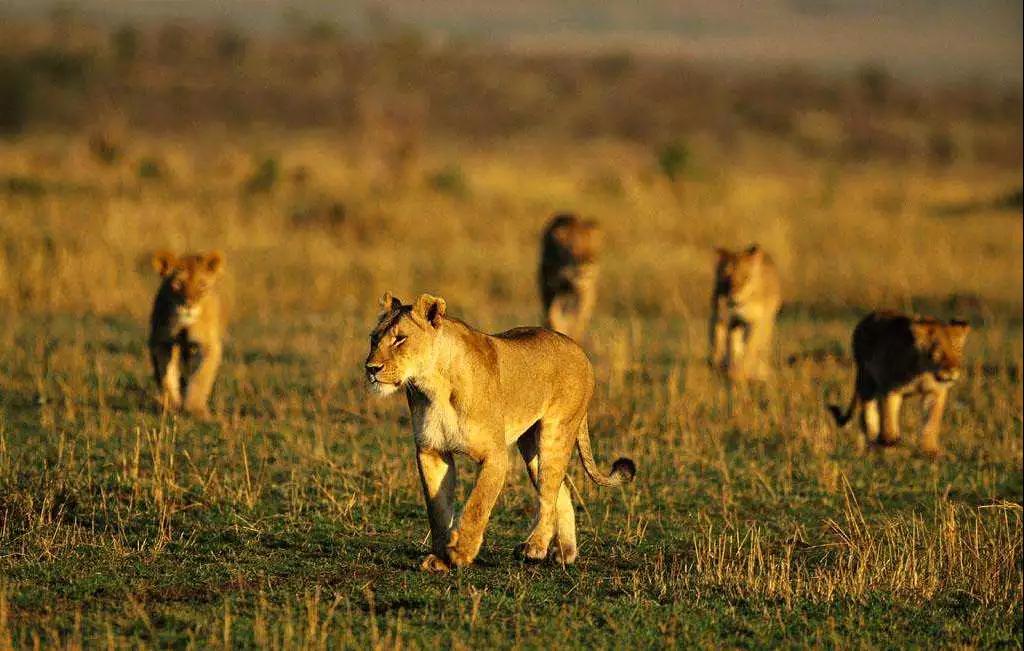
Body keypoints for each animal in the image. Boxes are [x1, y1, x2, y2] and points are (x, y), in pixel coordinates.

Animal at [148, 250, 225, 419]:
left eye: (202, 285)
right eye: (177, 284)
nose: (188, 305)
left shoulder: (209, 344)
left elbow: (202, 376)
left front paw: (195, 409)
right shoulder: (161, 341)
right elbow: (166, 376)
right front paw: (172, 404)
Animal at [364, 292, 635, 571]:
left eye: (400, 339)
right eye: (374, 338)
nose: (371, 368)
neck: (433, 385)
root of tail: (578, 348)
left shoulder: (494, 455)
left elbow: (477, 505)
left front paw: (460, 553)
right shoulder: (431, 451)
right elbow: (437, 509)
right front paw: (440, 559)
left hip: (556, 433)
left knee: (548, 495)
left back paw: (535, 547)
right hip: (531, 447)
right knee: (561, 490)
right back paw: (564, 552)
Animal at [709, 244, 782, 380]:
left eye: (745, 277)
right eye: (727, 276)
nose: (734, 295)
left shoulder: (759, 322)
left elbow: (752, 346)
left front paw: (741, 372)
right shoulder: (728, 319)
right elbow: (727, 344)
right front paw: (729, 368)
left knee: (762, 346)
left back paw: (761, 371)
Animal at [828, 310, 970, 456]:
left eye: (958, 350)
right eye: (938, 352)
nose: (953, 371)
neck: (923, 372)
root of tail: (867, 317)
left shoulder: (935, 392)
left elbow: (931, 422)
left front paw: (930, 450)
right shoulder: (889, 388)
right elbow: (889, 416)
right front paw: (889, 441)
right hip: (866, 379)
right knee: (867, 413)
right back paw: (872, 443)